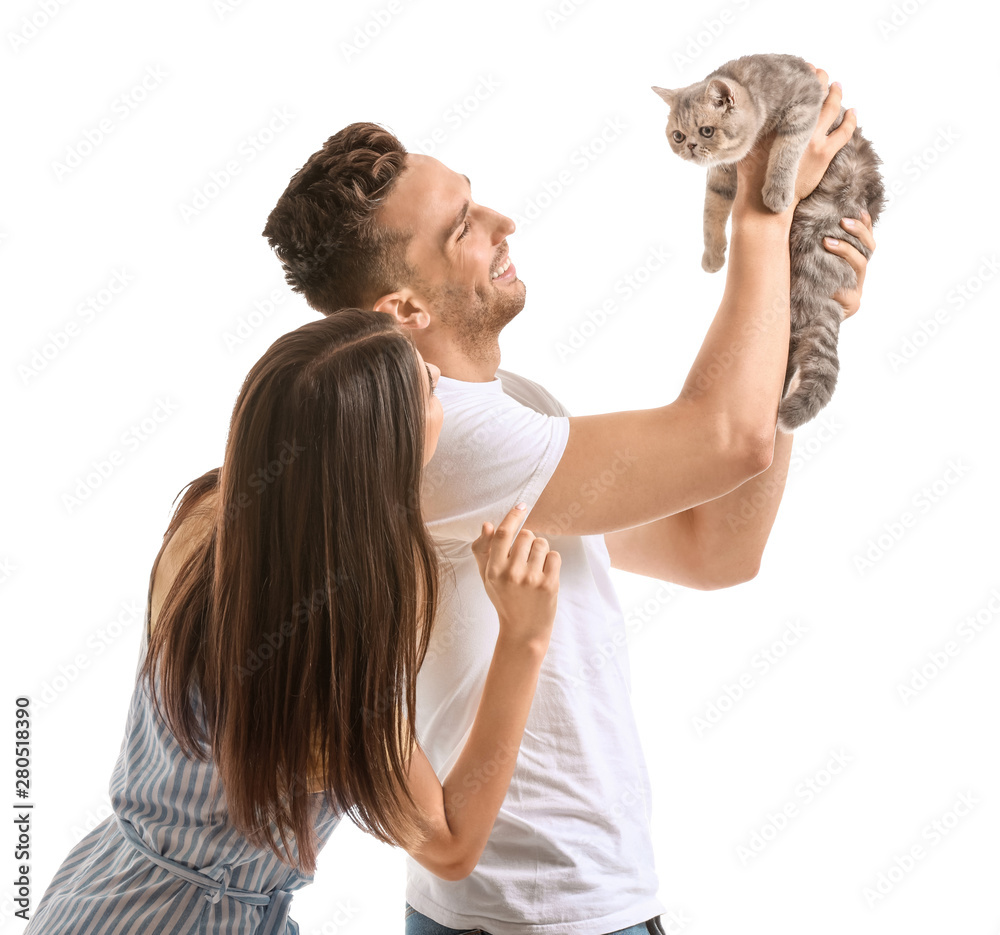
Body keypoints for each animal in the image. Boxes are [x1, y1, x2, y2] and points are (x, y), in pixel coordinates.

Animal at [652, 56, 888, 436]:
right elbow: (711, 210)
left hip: (808, 241)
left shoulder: (805, 105)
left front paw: (776, 192)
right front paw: (713, 256)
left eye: (707, 131)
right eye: (678, 136)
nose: (689, 147)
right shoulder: (722, 176)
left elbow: (786, 149)